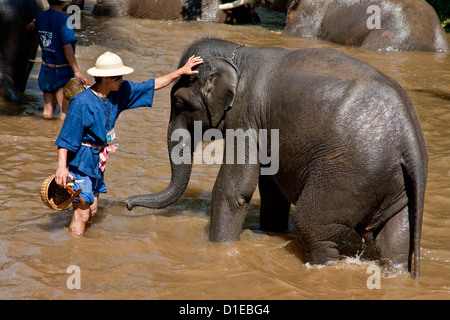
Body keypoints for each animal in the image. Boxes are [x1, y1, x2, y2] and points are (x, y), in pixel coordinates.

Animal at [125, 37, 428, 278]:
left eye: (178, 103)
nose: (127, 204)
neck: (238, 53)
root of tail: (409, 134)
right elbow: (271, 188)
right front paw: (268, 233)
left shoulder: (244, 116)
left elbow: (233, 190)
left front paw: (220, 250)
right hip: (395, 183)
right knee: (394, 239)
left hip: (349, 175)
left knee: (312, 224)